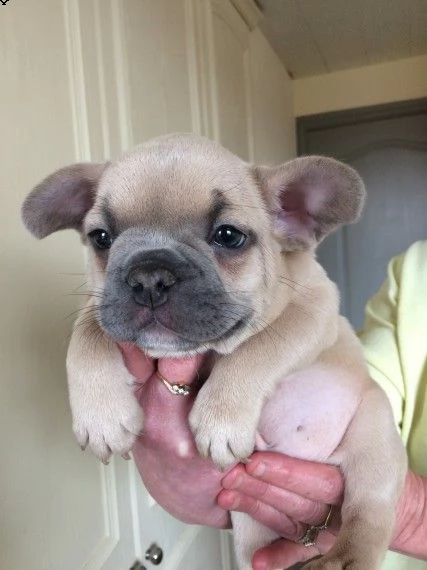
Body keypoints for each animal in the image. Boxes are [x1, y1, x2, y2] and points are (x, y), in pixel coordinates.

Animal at [22, 134, 408, 568]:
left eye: (228, 236)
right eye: (101, 238)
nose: (149, 276)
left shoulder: (315, 308)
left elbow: (260, 347)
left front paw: (220, 417)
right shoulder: (102, 305)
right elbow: (87, 331)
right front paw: (100, 415)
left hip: (373, 437)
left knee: (368, 511)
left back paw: (343, 557)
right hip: (251, 535)